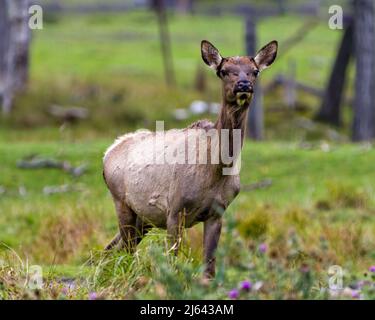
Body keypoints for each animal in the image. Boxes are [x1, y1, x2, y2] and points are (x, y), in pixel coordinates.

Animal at [104, 40, 278, 278]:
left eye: (255, 71)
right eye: (223, 71)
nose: (243, 85)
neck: (215, 170)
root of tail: (108, 152)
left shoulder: (217, 213)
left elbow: (209, 267)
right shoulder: (174, 210)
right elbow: (172, 263)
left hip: (144, 218)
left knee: (112, 247)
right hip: (121, 203)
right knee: (126, 250)